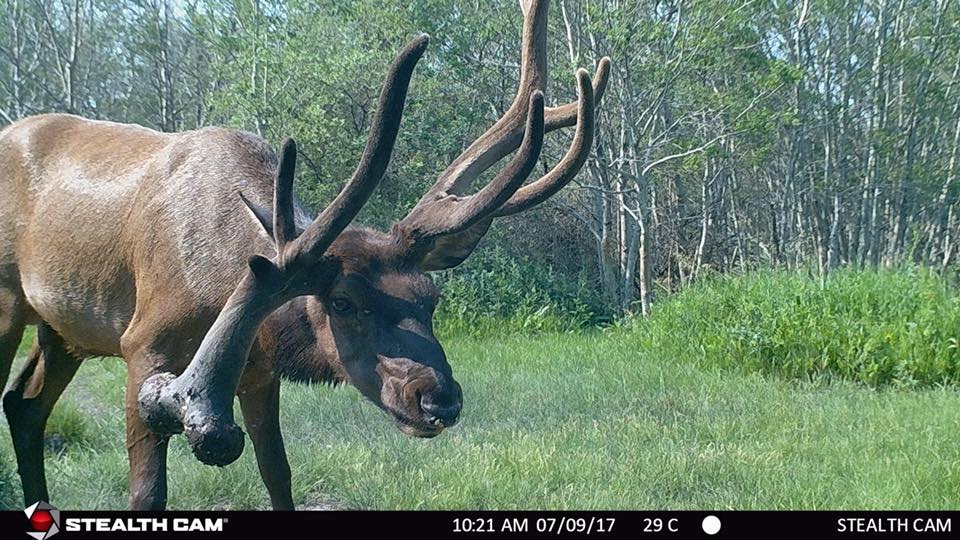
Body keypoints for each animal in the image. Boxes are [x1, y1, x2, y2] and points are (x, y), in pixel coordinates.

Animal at [0, 0, 612, 508]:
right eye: (342, 302)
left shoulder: (258, 374)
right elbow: (148, 495)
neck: (221, 283)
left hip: (63, 329)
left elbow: (279, 475)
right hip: (11, 302)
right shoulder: (142, 346)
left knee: (24, 405)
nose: (439, 400)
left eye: (431, 297)